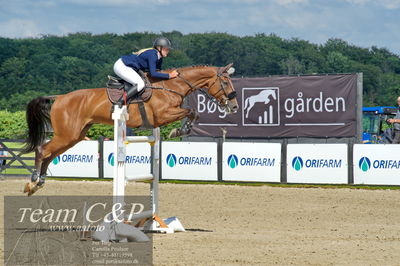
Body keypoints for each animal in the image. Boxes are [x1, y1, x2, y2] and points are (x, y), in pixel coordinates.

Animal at [22, 64, 238, 195]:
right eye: (225, 82)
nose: (234, 106)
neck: (172, 85)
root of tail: (59, 97)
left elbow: (193, 113)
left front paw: (181, 130)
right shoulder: (163, 115)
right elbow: (192, 111)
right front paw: (177, 131)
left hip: (74, 136)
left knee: (49, 154)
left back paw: (38, 183)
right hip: (67, 134)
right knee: (42, 150)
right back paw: (33, 180)